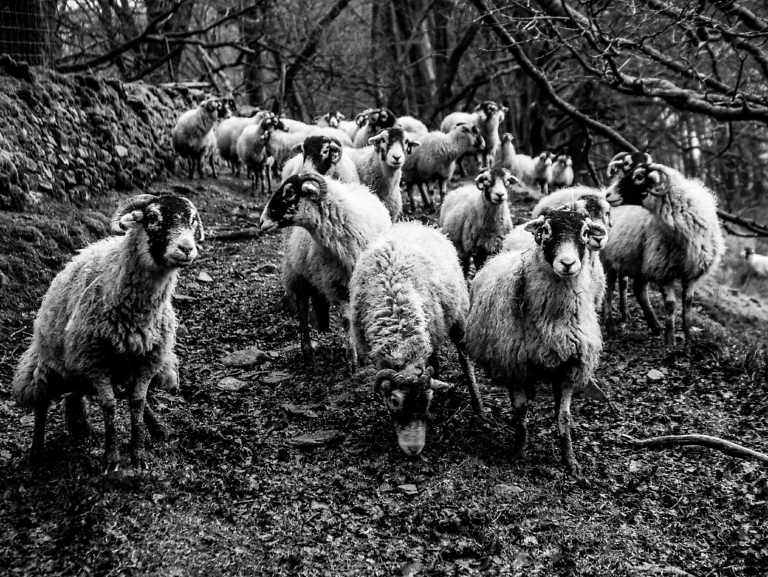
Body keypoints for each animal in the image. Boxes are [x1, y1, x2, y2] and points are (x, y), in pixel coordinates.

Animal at [12, 193, 204, 470]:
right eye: (153, 217)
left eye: (191, 221)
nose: (187, 249)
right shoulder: (95, 361)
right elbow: (110, 406)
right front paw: (111, 458)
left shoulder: (147, 360)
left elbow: (137, 403)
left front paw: (139, 453)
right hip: (49, 362)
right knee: (41, 400)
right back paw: (36, 452)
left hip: (96, 368)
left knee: (76, 395)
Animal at [259, 172, 391, 362]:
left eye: (290, 192)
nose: (262, 221)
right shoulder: (335, 284)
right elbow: (346, 320)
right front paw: (352, 358)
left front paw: (365, 354)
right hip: (297, 273)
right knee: (302, 308)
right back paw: (307, 349)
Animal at [348, 221, 484, 456]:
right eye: (394, 401)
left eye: (427, 401)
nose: (414, 449)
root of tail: (415, 224)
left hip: (458, 316)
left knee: (464, 357)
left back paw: (478, 406)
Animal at [466, 207, 608, 474]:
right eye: (546, 231)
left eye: (585, 232)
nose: (568, 263)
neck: (553, 321)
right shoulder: (514, 365)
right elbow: (520, 411)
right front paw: (519, 451)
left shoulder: (570, 365)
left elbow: (564, 417)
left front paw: (570, 461)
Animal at [603, 161, 725, 345]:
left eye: (639, 177)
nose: (608, 194)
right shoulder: (663, 268)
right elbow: (671, 304)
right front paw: (670, 340)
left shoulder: (692, 271)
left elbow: (688, 303)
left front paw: (689, 336)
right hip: (608, 259)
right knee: (609, 290)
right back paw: (610, 325)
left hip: (638, 261)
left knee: (638, 290)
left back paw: (654, 326)